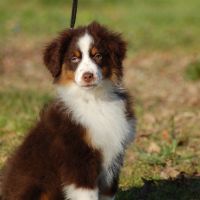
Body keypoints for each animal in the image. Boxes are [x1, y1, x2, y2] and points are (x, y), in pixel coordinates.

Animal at [1, 22, 136, 200]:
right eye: (74, 58)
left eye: (98, 56)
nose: (88, 76)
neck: (94, 99)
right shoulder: (78, 158)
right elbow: (87, 195)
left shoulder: (114, 155)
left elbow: (108, 192)